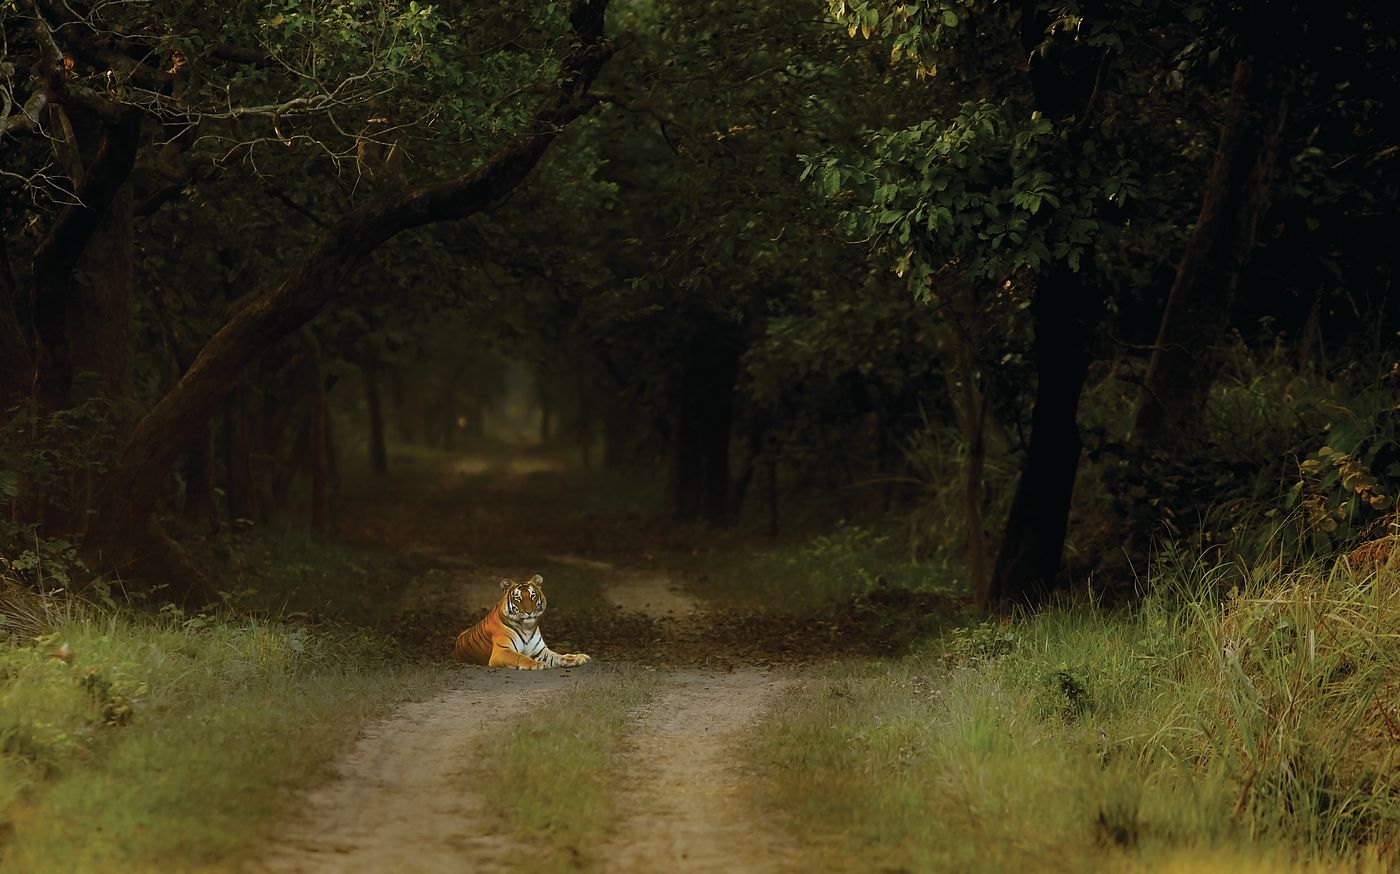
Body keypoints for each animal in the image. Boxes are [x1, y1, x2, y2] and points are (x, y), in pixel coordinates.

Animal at [452, 574, 592, 669]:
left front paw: (577, 658)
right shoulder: (502, 651)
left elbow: (558, 655)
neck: (527, 627)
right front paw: (538, 664)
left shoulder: (540, 650)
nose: (529, 612)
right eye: (517, 598)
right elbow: (521, 657)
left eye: (532, 595)